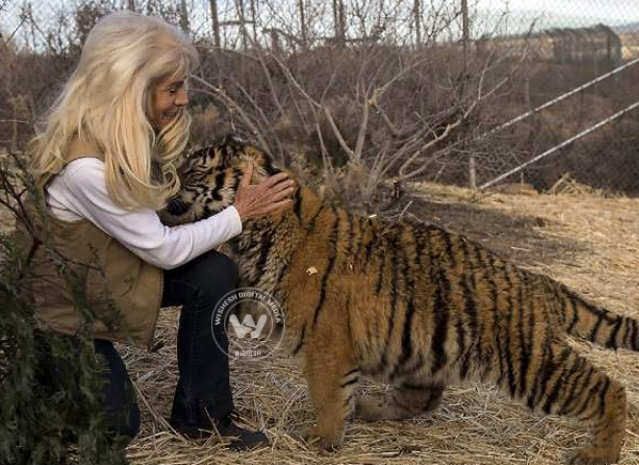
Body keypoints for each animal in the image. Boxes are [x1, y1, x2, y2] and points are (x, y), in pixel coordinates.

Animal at [160, 135, 639, 464]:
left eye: (194, 172)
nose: (163, 188)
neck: (260, 231)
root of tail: (538, 281)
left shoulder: (327, 342)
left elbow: (326, 394)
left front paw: (322, 440)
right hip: (426, 346)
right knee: (422, 398)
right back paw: (369, 408)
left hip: (529, 361)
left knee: (609, 388)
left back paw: (601, 454)